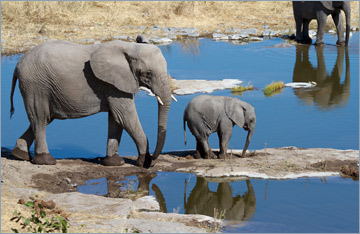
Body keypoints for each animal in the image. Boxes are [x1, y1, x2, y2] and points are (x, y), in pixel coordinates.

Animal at [10, 39, 173, 168]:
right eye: (148, 73)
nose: (152, 160)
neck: (130, 47)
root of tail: (18, 65)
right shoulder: (113, 85)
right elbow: (125, 117)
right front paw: (143, 163)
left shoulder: (114, 85)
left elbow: (116, 119)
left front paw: (114, 163)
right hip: (36, 85)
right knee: (40, 118)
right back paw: (46, 161)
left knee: (42, 119)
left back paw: (20, 155)